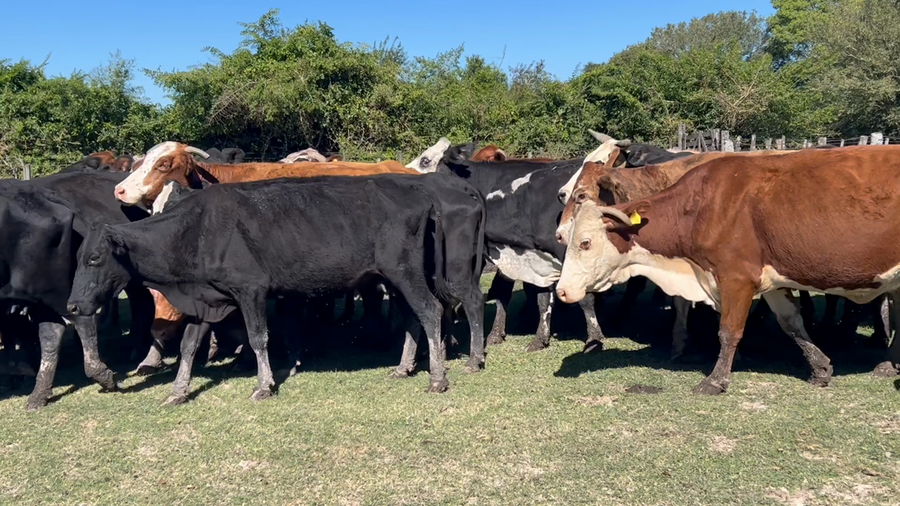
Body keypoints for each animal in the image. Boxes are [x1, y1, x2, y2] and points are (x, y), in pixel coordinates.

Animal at [67, 173, 486, 404]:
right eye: (78, 257)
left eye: (94, 259)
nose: (71, 306)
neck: (196, 230)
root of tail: (423, 194)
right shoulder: (206, 298)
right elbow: (188, 346)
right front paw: (178, 390)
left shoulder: (250, 289)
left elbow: (258, 338)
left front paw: (265, 384)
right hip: (396, 278)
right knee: (416, 318)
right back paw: (404, 368)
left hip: (406, 272)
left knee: (433, 311)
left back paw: (439, 376)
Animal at [555, 145, 900, 394]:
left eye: (585, 242)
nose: (561, 290)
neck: (701, 206)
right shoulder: (772, 281)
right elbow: (792, 324)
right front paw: (820, 367)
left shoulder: (736, 278)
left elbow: (729, 331)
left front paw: (715, 380)